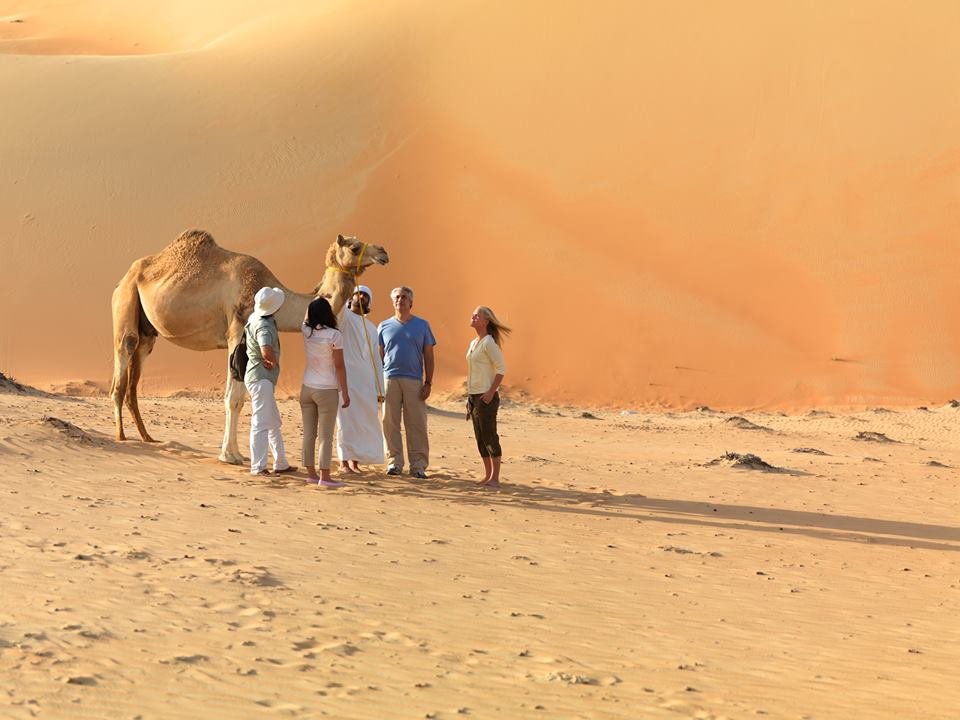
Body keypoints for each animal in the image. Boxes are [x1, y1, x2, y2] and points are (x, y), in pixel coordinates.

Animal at [109, 232, 386, 466]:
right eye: (354, 247)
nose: (383, 252)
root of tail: (124, 277)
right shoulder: (236, 330)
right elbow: (234, 398)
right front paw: (229, 455)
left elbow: (241, 398)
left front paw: (238, 453)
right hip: (126, 301)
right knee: (123, 360)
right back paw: (121, 435)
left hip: (148, 331)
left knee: (134, 376)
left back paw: (147, 437)